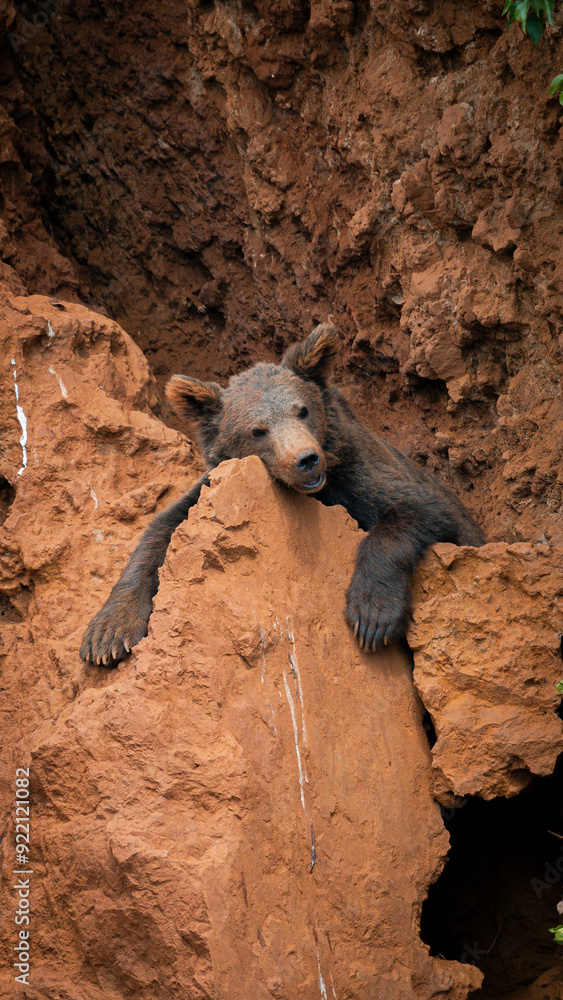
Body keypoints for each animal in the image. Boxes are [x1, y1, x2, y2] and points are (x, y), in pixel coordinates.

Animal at [80, 322, 485, 666]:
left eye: (302, 410)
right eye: (258, 429)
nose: (306, 459)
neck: (322, 488)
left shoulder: (364, 474)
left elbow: (418, 510)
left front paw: (372, 615)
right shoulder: (212, 488)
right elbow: (162, 530)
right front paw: (107, 634)